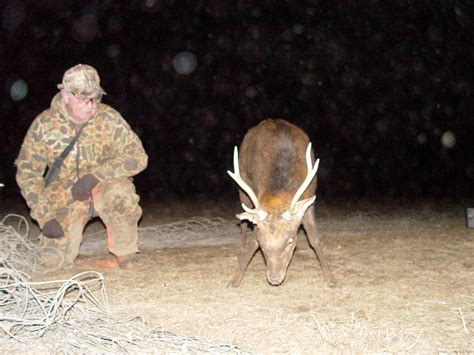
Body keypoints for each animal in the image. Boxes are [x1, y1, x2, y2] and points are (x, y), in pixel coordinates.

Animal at [227, 119, 336, 286]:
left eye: (291, 239)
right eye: (262, 242)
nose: (274, 278)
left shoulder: (310, 196)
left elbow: (314, 238)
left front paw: (331, 278)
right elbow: (253, 239)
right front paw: (235, 277)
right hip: (242, 189)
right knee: (243, 222)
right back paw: (241, 248)